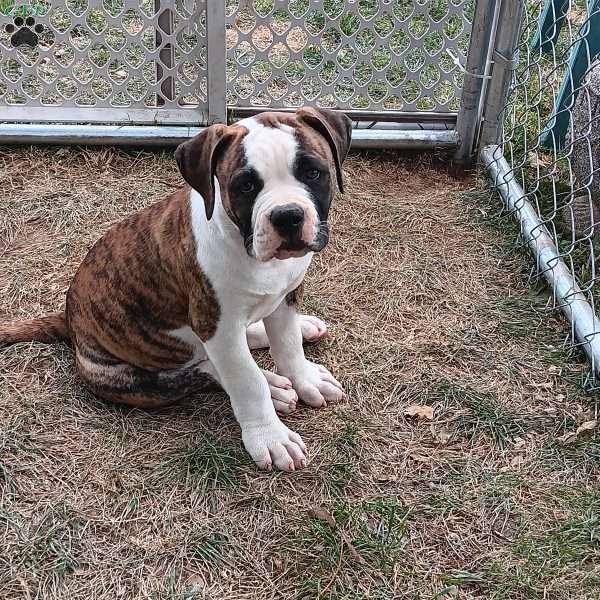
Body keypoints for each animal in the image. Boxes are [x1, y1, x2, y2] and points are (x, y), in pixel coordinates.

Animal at [1, 109, 352, 474]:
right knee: (201, 371)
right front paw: (270, 437)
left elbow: (288, 345)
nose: (287, 215)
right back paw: (274, 387)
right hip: (134, 381)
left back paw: (301, 331)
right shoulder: (215, 323)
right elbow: (245, 380)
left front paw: (305, 378)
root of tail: (69, 319)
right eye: (245, 186)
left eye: (313, 173)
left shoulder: (285, 297)